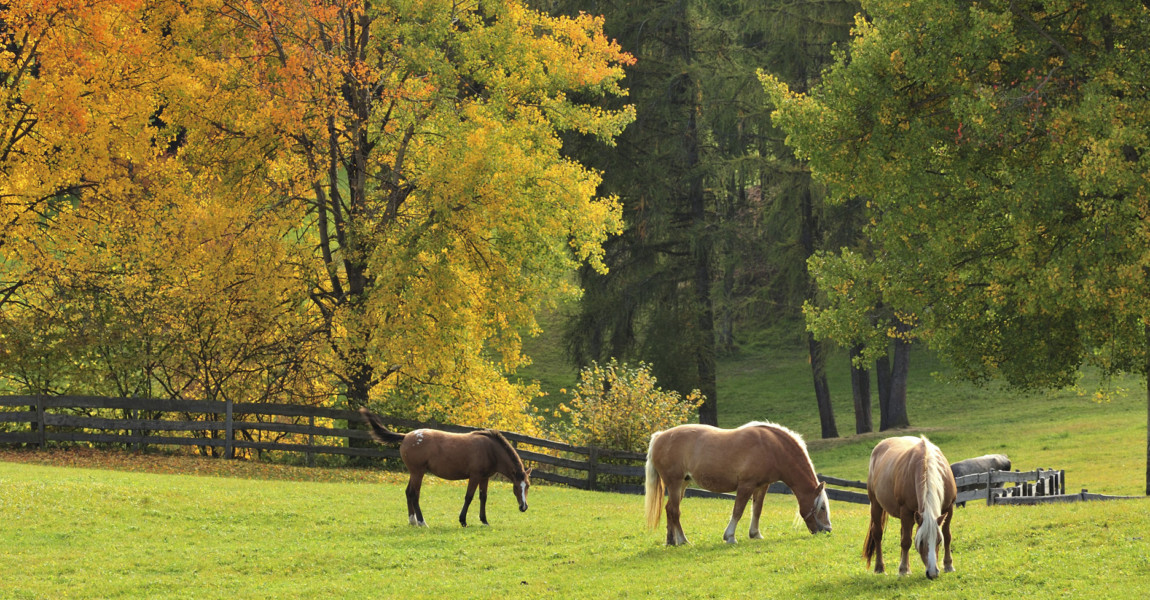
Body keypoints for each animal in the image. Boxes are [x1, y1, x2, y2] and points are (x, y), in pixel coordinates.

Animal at [358, 406, 529, 524]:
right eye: (516, 487)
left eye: (527, 486)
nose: (524, 507)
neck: (490, 449)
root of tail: (406, 436)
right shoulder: (474, 476)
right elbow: (469, 497)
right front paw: (463, 520)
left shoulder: (484, 478)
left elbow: (483, 497)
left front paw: (484, 520)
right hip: (418, 472)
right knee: (414, 494)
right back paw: (422, 522)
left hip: (414, 473)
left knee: (408, 493)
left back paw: (413, 521)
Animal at [644, 418, 832, 544]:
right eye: (822, 507)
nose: (828, 530)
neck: (772, 448)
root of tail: (659, 436)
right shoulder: (746, 486)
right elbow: (738, 511)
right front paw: (730, 537)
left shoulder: (761, 486)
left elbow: (757, 510)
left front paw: (755, 534)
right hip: (675, 484)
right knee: (674, 511)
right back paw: (683, 540)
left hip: (681, 485)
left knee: (669, 510)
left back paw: (671, 541)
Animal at [864, 432, 956, 577]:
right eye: (921, 541)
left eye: (938, 541)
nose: (932, 573)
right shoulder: (906, 511)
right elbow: (906, 541)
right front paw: (902, 570)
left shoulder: (949, 507)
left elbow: (947, 535)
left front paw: (948, 565)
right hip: (876, 504)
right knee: (878, 533)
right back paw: (880, 567)